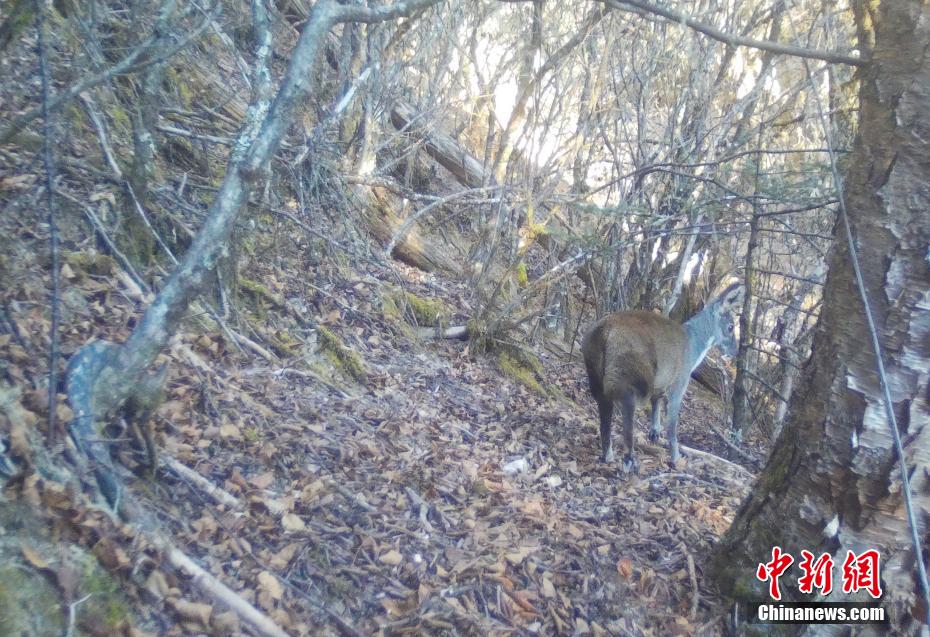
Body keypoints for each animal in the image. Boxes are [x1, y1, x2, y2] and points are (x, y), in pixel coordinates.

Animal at [580, 284, 740, 472]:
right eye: (731, 327)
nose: (735, 351)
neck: (694, 346)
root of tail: (605, 332)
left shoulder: (662, 380)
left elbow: (657, 401)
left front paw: (655, 432)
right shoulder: (680, 380)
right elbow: (672, 424)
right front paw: (676, 458)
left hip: (595, 373)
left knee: (604, 413)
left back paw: (608, 456)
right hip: (630, 376)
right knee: (627, 416)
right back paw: (629, 461)